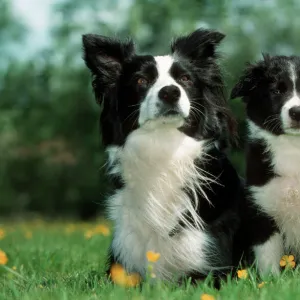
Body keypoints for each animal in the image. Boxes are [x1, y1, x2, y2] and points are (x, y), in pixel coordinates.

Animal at [82, 28, 244, 284]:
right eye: (141, 81)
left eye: (185, 79)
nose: (170, 92)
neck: (164, 146)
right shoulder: (122, 266)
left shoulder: (214, 269)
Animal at [232, 54, 300, 276]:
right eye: (277, 91)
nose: (297, 112)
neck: (293, 148)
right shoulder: (262, 207)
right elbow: (267, 256)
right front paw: (271, 280)